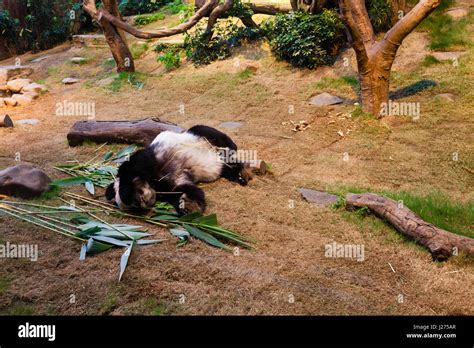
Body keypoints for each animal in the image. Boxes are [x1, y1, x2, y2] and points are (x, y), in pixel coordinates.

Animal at [104, 123, 252, 213]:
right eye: (136, 208)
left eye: (137, 199)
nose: (144, 204)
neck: (153, 183)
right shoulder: (172, 183)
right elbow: (184, 189)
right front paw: (188, 205)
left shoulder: (147, 158)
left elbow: (130, 167)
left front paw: (123, 191)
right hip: (221, 164)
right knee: (228, 167)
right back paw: (240, 174)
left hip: (199, 136)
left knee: (210, 133)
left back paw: (231, 150)